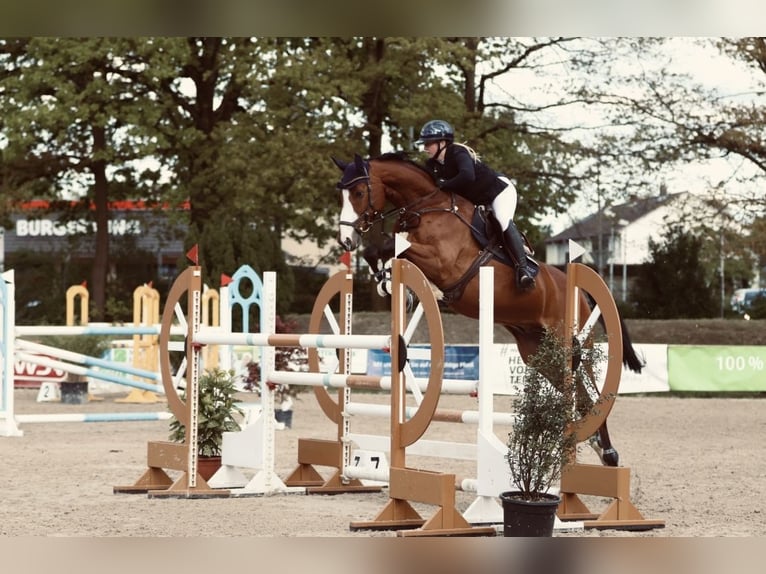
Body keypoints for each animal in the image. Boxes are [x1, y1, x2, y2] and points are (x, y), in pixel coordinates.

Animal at [332, 153, 644, 468]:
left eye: (358, 193)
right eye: (341, 194)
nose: (346, 240)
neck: (426, 207)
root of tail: (578, 289)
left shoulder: (443, 262)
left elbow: (392, 247)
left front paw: (392, 280)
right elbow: (380, 250)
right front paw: (386, 283)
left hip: (568, 343)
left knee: (591, 390)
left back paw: (607, 453)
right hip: (539, 353)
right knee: (581, 397)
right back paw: (598, 448)